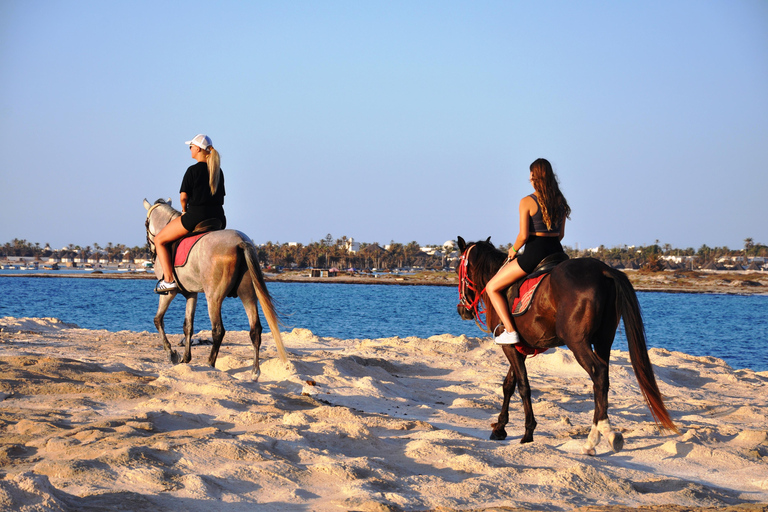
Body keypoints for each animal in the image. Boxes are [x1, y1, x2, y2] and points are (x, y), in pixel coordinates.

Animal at [145, 197, 288, 380]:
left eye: (146, 223)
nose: (151, 252)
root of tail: (239, 241)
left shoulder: (169, 293)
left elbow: (158, 319)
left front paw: (171, 354)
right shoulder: (192, 294)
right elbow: (188, 325)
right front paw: (185, 358)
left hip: (213, 298)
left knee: (218, 330)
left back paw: (210, 364)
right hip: (248, 294)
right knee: (255, 329)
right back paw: (254, 372)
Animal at [460, 237, 676, 456]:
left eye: (458, 269)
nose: (462, 310)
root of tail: (603, 270)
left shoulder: (510, 348)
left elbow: (523, 386)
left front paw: (528, 431)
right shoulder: (519, 348)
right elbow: (509, 385)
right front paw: (500, 427)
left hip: (577, 343)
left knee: (598, 373)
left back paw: (596, 437)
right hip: (603, 341)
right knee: (602, 379)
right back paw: (600, 434)